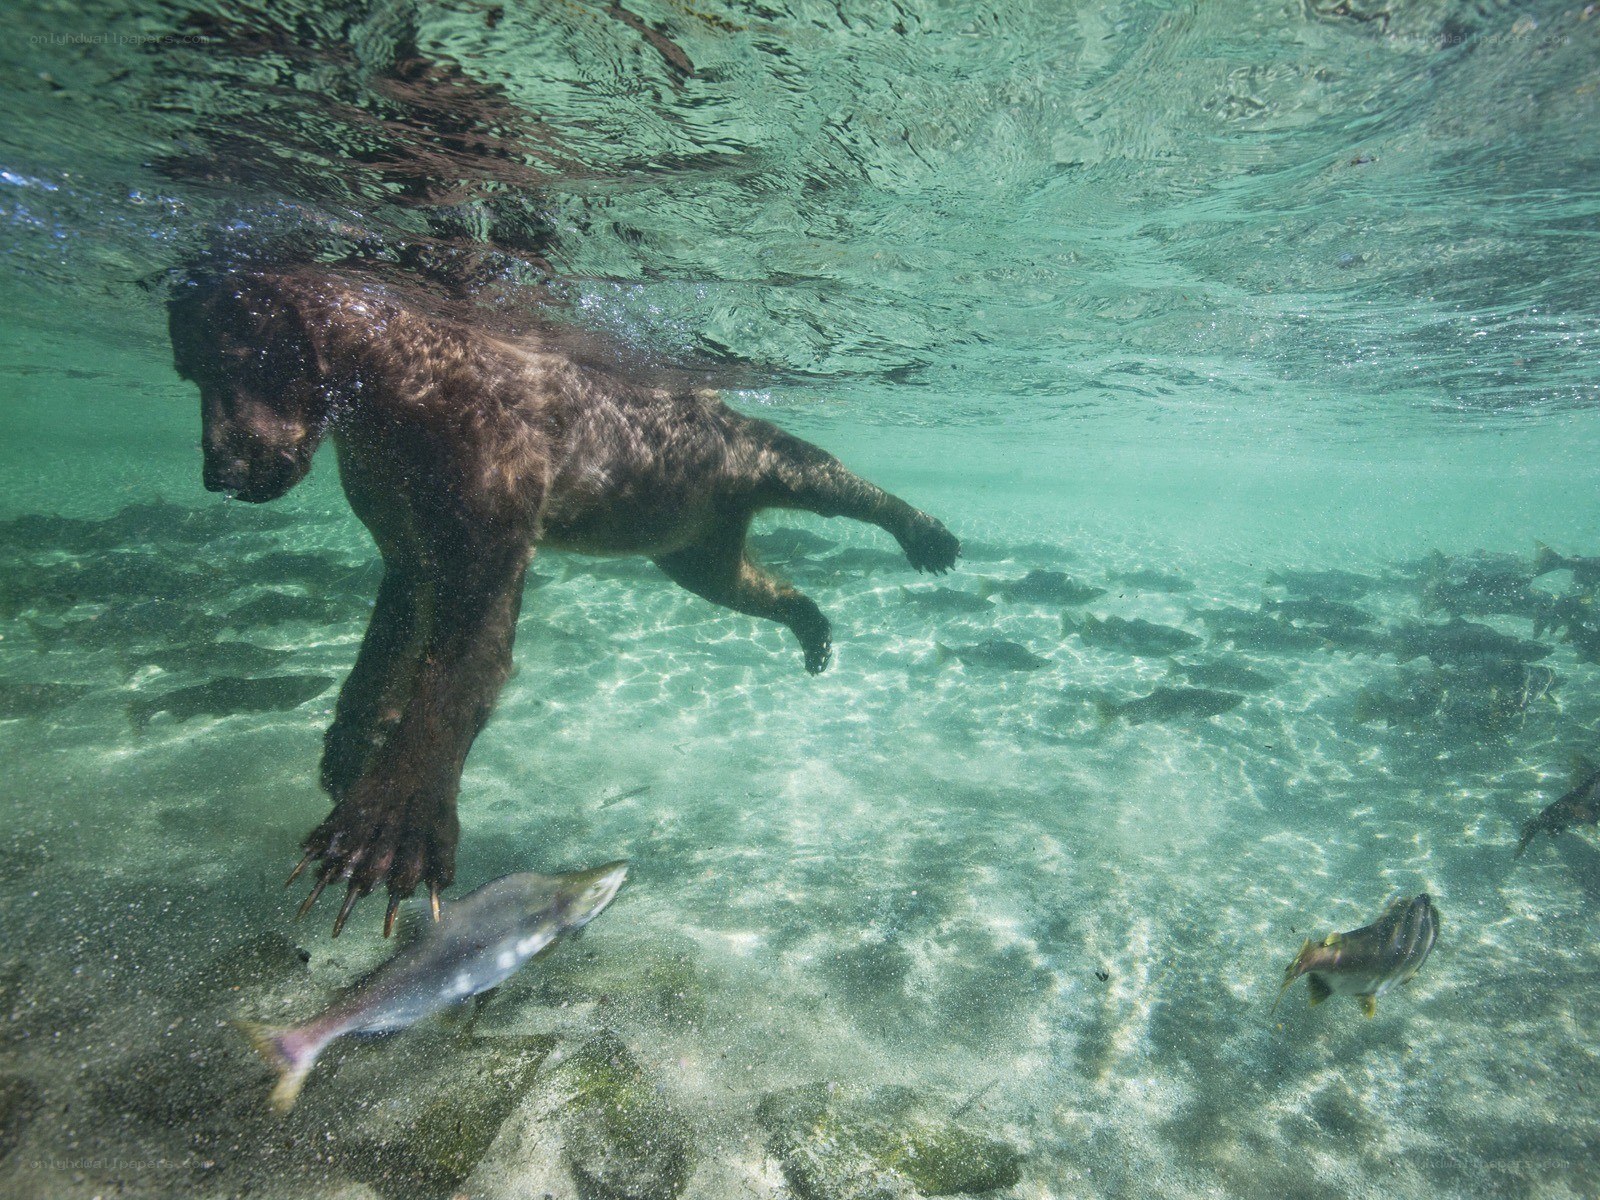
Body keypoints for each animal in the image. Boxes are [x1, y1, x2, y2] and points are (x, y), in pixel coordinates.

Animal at [168, 268, 960, 936]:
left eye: (237, 359)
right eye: (187, 372)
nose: (221, 470)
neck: (391, 398)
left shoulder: (487, 497)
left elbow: (461, 667)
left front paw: (382, 834)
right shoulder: (401, 528)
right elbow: (388, 642)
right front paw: (347, 752)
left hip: (746, 456)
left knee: (828, 478)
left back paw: (929, 535)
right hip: (689, 543)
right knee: (743, 582)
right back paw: (814, 630)